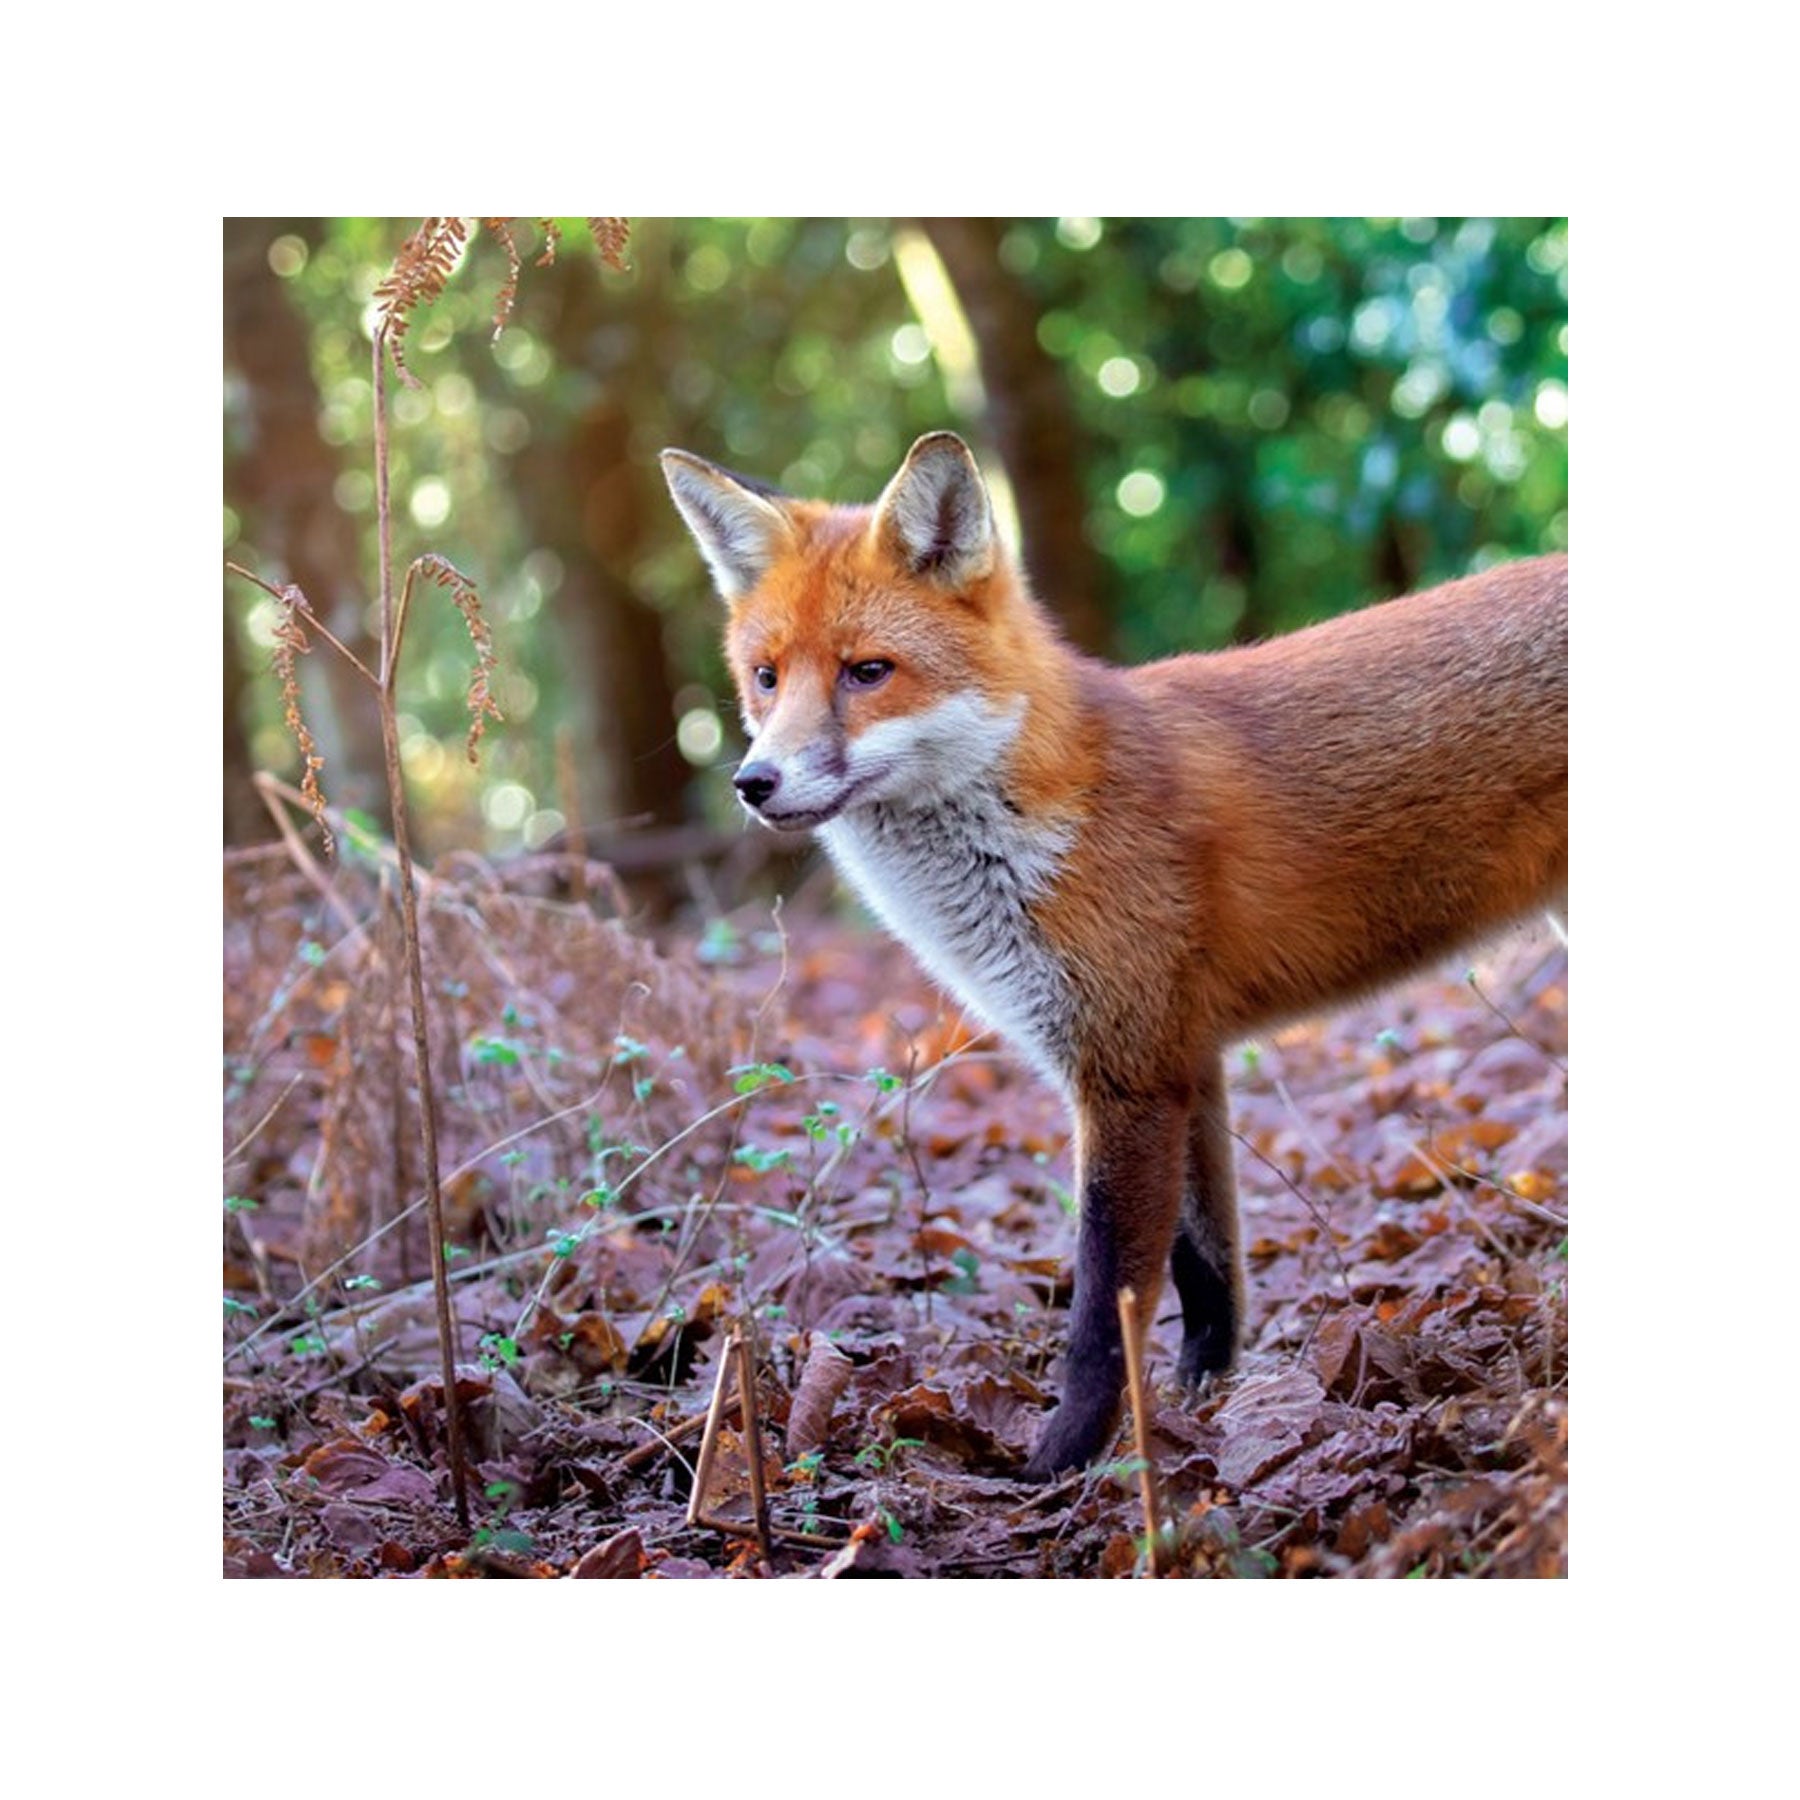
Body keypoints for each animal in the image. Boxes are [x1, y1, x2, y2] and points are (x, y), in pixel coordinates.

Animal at [661, 431, 1567, 1480]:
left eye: (867, 671)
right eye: (767, 677)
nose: (754, 782)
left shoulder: (1127, 1074)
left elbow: (1104, 1304)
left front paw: (1062, 1463)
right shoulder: (1184, 1062)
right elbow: (1204, 1270)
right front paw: (1202, 1402)